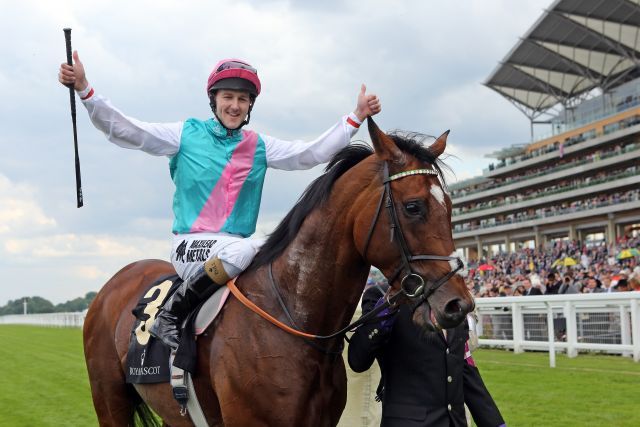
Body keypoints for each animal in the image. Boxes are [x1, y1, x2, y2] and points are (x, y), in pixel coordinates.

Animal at [82, 118, 476, 427]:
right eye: (413, 207)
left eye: (451, 207)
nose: (458, 305)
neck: (296, 318)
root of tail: (114, 282)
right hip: (108, 400)